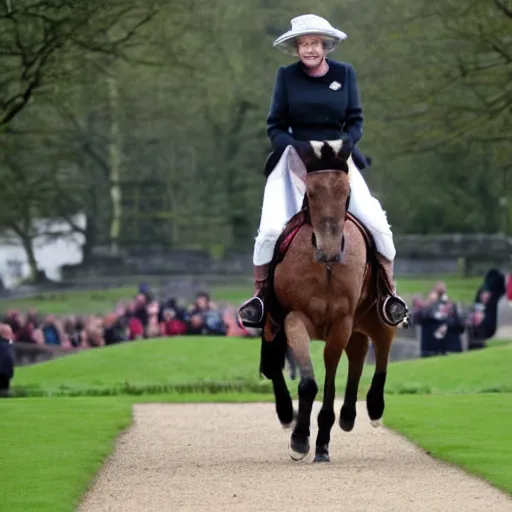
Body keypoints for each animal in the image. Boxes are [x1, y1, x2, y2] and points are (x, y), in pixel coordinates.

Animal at [260, 140, 396, 464]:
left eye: (346, 193)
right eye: (310, 193)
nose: (330, 248)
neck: (326, 268)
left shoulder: (341, 322)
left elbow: (332, 375)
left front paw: (321, 441)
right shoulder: (293, 318)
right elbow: (308, 381)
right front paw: (300, 438)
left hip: (375, 313)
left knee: (382, 345)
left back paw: (373, 407)